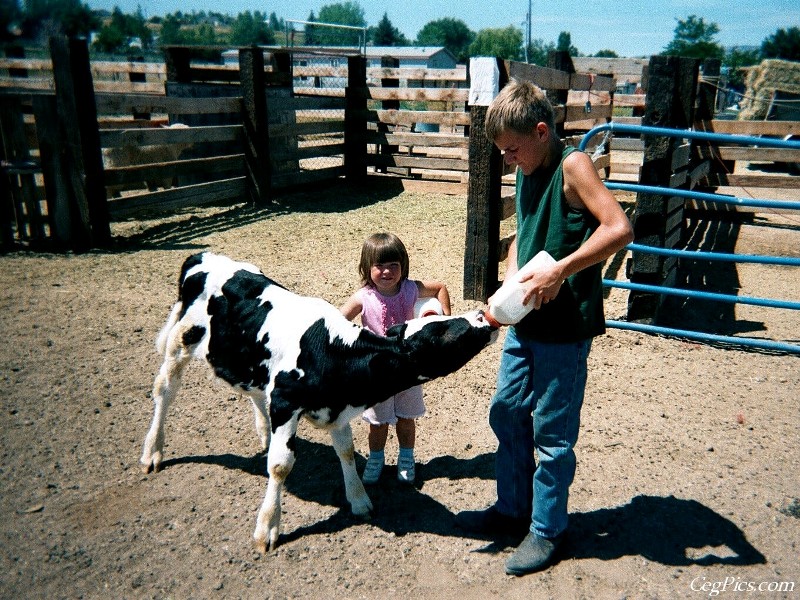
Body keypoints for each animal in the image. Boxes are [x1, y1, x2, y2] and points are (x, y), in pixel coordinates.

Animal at [141, 251, 496, 552]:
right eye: (443, 332)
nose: (482, 315)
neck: (331, 353)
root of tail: (201, 255)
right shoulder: (285, 401)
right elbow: (281, 464)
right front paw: (267, 528)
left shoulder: (335, 410)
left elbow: (347, 451)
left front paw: (359, 500)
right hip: (181, 341)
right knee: (164, 390)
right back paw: (152, 452)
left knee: (253, 392)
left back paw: (263, 433)